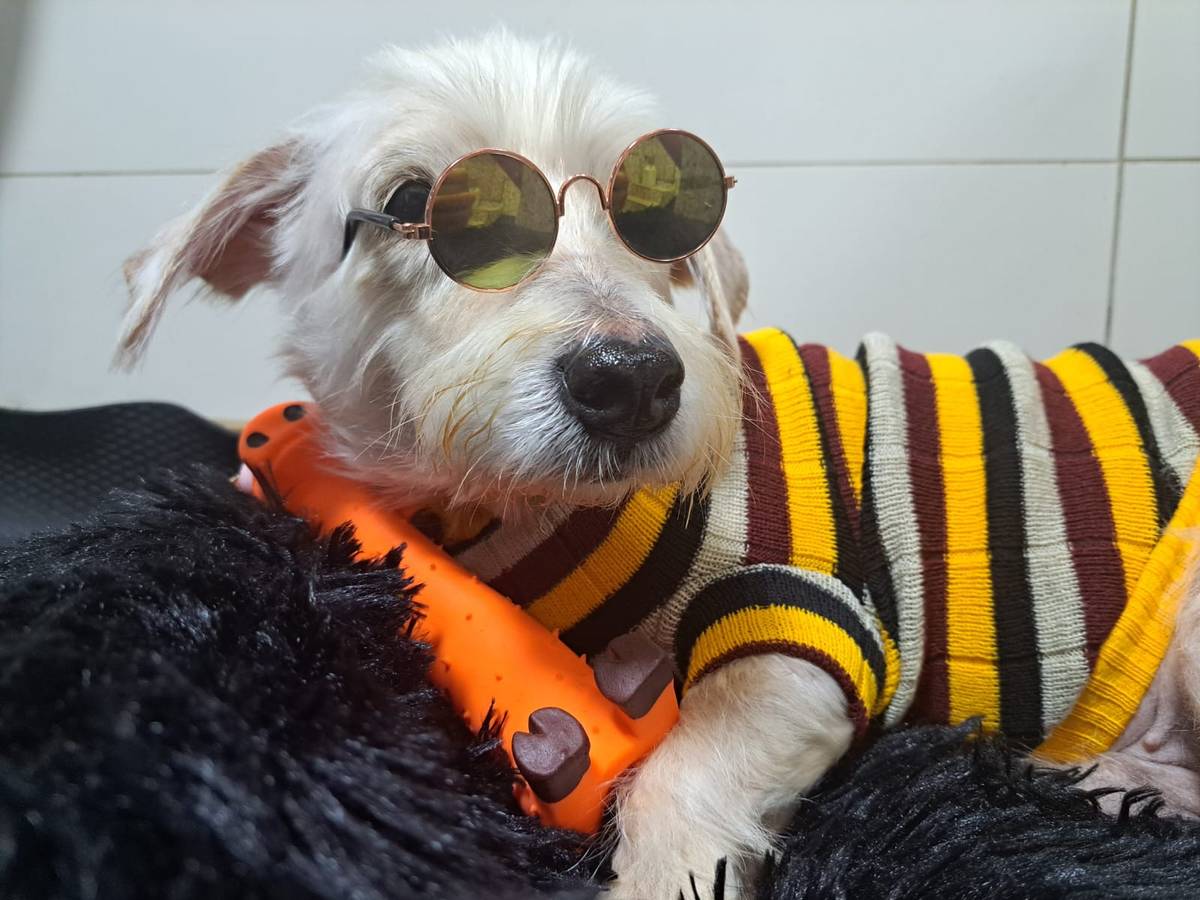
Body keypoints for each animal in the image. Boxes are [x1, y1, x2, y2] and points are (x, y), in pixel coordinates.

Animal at [118, 31, 1200, 899]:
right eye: (413, 201)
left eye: (664, 207)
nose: (633, 379)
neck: (524, 515)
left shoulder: (812, 628)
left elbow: (679, 776)